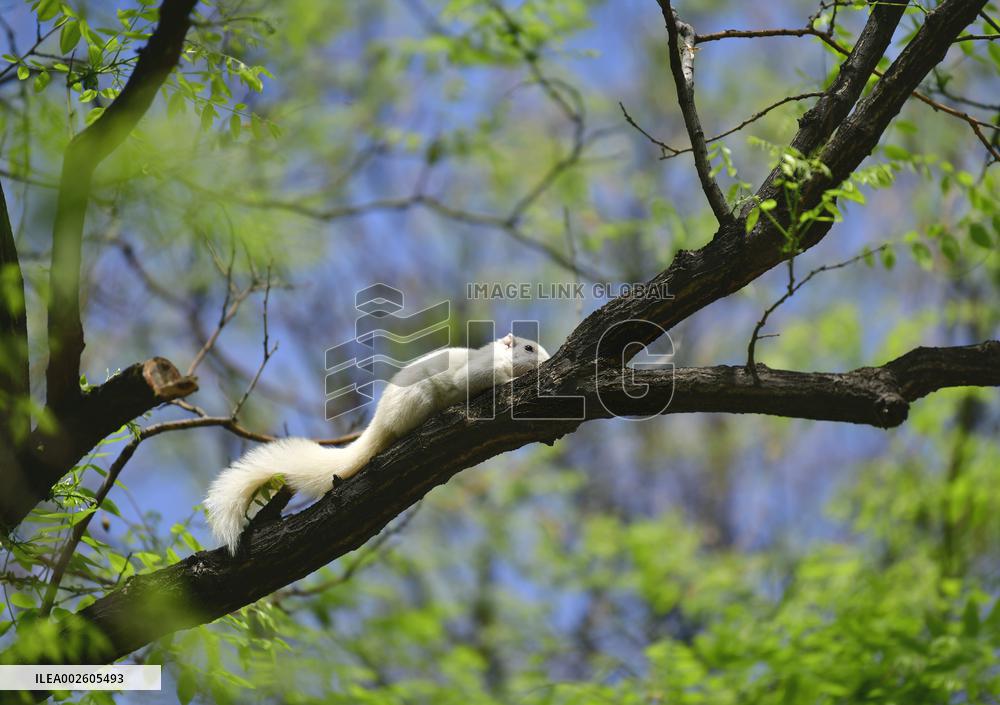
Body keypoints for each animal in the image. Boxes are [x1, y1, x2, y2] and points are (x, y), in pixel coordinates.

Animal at [205, 333, 550, 554]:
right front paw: (512, 380)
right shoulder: (477, 371)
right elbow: (477, 380)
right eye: (529, 348)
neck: (498, 357)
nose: (546, 360)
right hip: (418, 400)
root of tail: (380, 422)